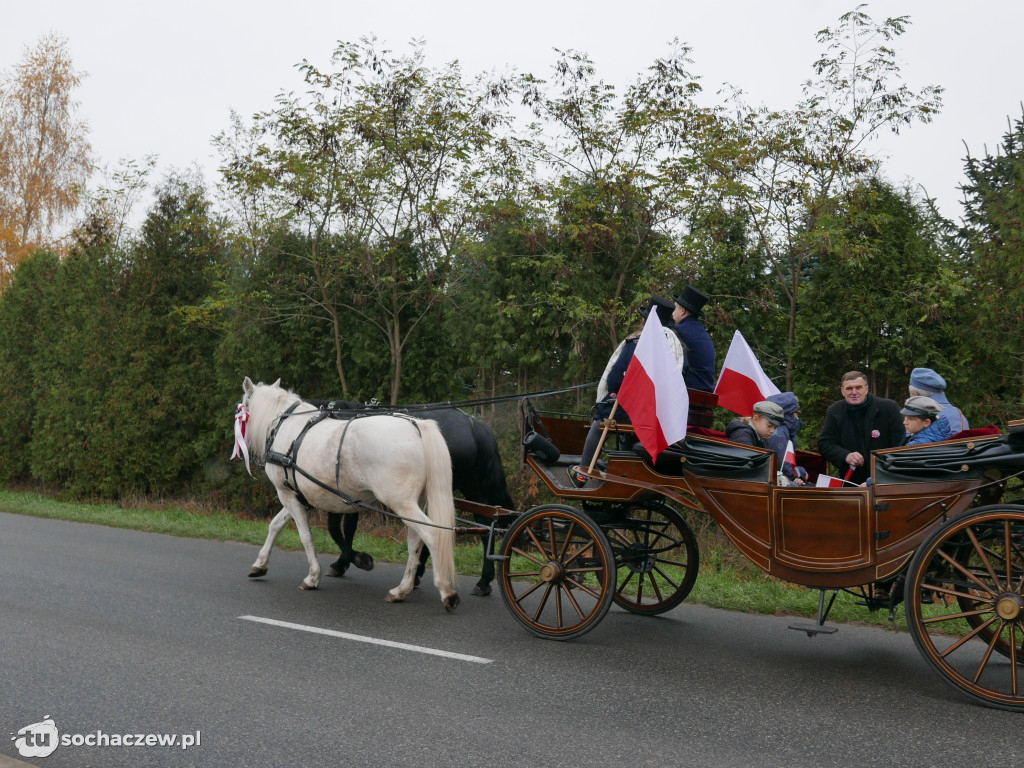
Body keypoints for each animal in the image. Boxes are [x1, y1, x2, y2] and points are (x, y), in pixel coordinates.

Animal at [235, 378, 460, 614]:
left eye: (243, 407)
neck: (287, 428)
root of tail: (416, 426)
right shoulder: (296, 495)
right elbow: (275, 525)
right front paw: (260, 565)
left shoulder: (286, 494)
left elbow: (305, 535)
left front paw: (313, 577)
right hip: (416, 503)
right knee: (415, 542)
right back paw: (402, 590)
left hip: (402, 504)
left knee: (432, 536)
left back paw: (446, 591)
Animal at [311, 405, 516, 598]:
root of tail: (474, 424)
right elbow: (343, 529)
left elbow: (337, 529)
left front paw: (349, 561)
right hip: (473, 490)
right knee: (481, 526)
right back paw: (480, 580)